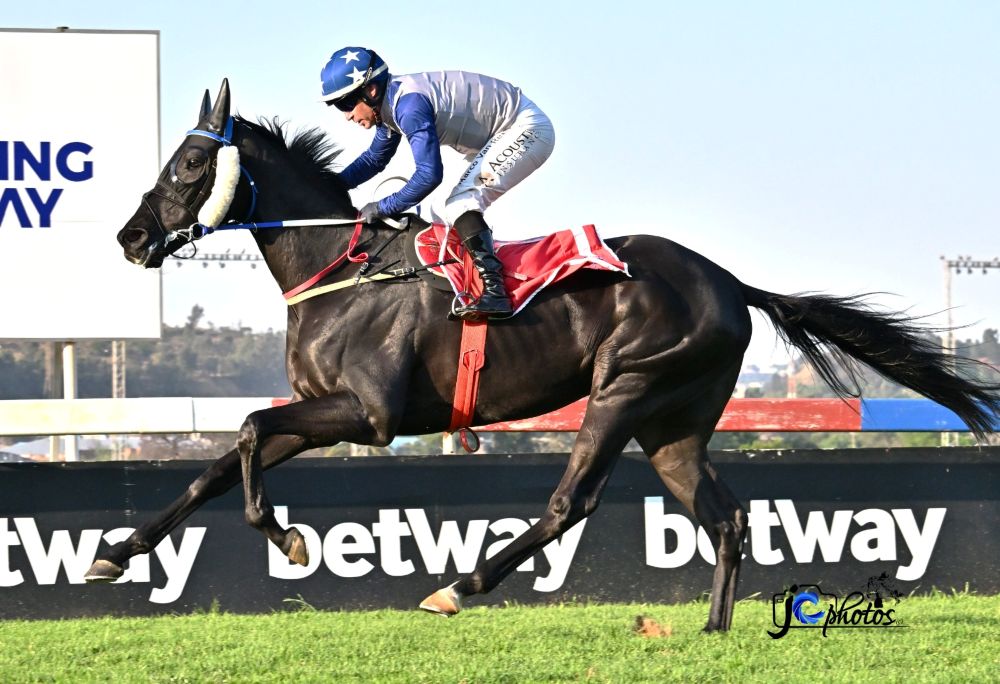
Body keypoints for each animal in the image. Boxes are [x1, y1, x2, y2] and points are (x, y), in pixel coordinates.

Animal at [91, 79, 999, 632]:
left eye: (190, 162)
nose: (130, 238)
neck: (339, 268)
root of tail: (728, 279)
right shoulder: (320, 411)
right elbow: (222, 461)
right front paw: (115, 552)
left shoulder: (368, 415)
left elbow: (245, 431)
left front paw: (287, 541)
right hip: (675, 421)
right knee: (725, 514)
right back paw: (714, 627)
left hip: (624, 387)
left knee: (572, 502)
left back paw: (458, 587)